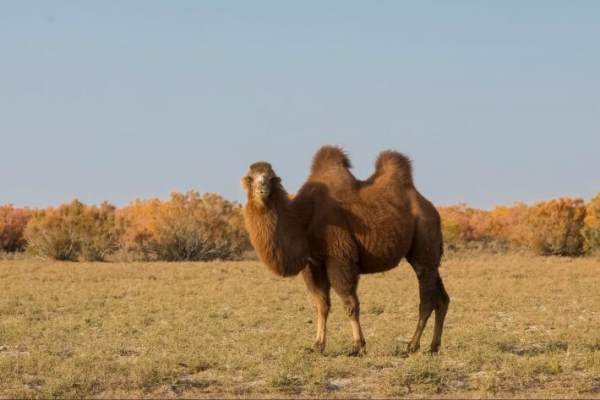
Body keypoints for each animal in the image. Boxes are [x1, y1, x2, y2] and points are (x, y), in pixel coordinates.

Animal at [241, 145, 448, 354]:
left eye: (270, 178)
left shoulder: (340, 258)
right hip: (429, 256)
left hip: (424, 240)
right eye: (251, 178)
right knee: (442, 298)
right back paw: (434, 346)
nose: (262, 190)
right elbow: (321, 304)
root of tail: (431, 209)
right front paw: (317, 345)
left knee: (427, 298)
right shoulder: (313, 264)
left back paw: (412, 346)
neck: (303, 220)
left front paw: (357, 346)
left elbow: (350, 303)